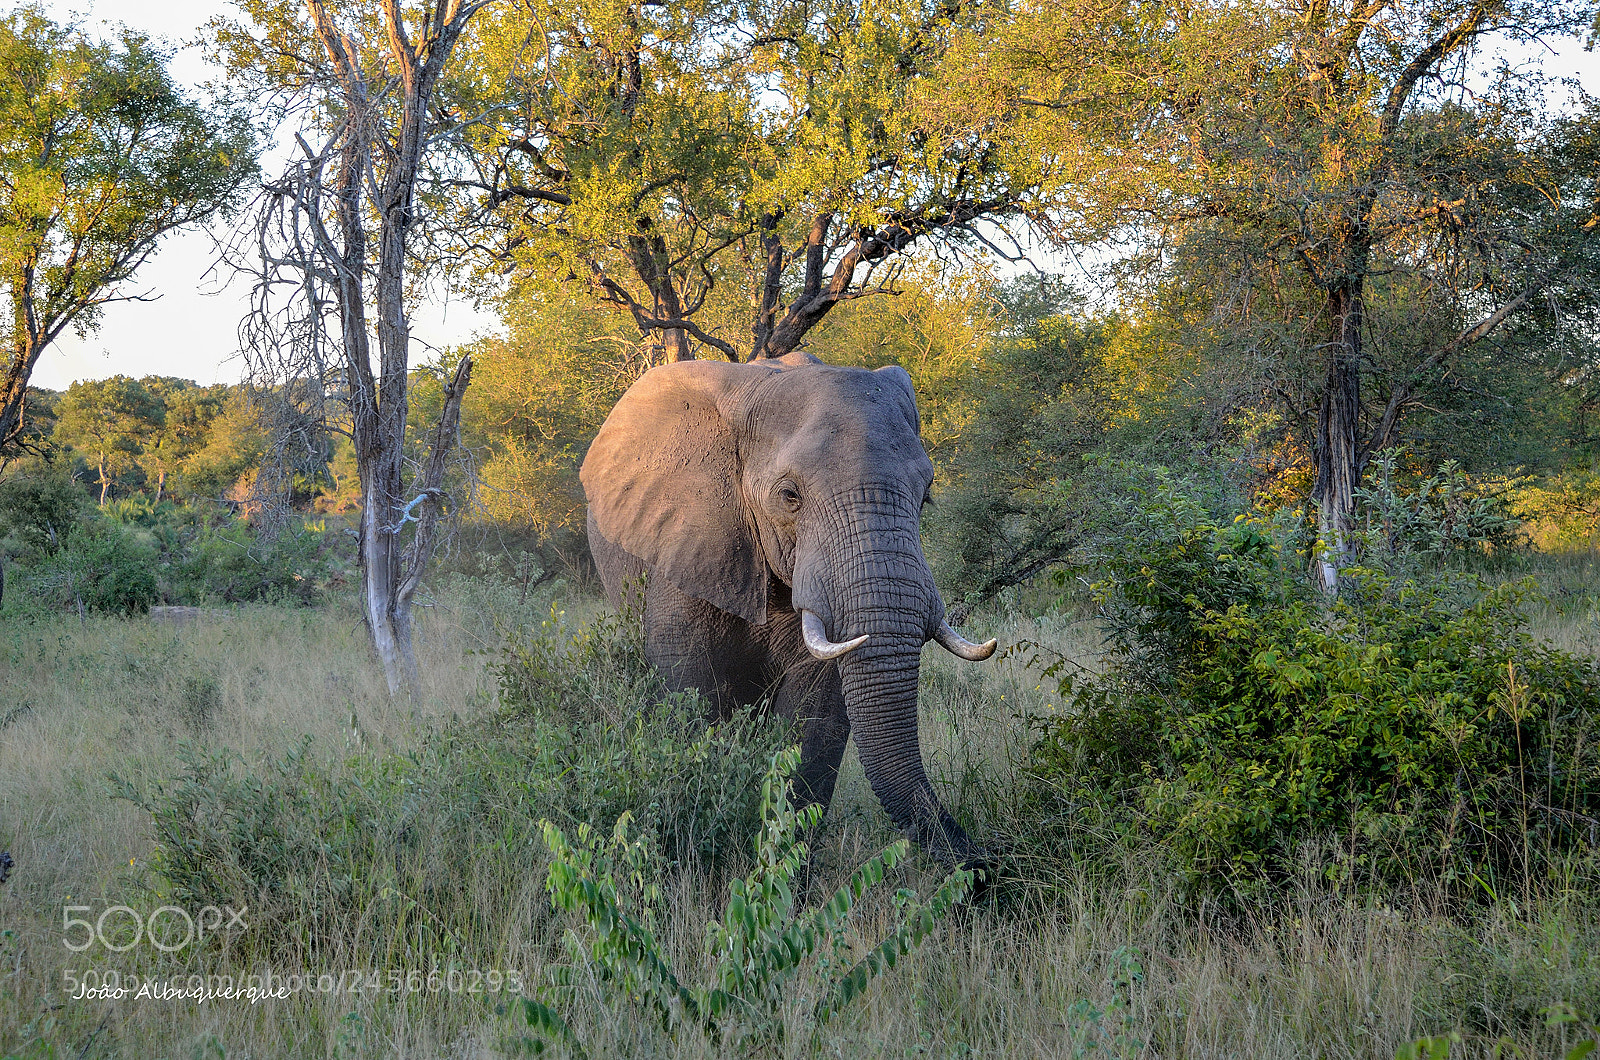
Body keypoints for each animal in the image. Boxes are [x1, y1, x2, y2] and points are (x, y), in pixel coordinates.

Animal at [580, 350, 997, 870]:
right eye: (789, 496)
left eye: (927, 495)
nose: (984, 868)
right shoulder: (687, 548)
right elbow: (692, 699)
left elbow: (813, 720)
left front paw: (785, 871)